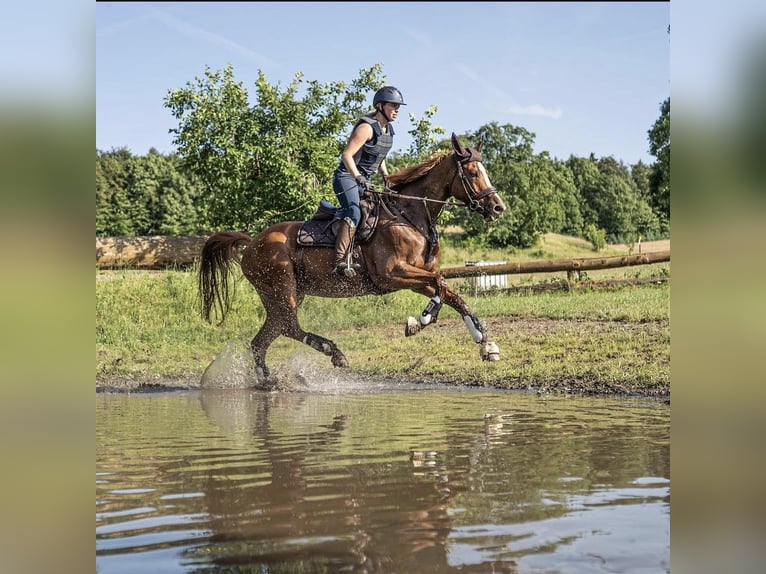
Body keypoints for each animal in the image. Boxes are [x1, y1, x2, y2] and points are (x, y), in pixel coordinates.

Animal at [199, 133, 507, 381]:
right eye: (472, 173)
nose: (498, 207)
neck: (409, 216)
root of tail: (252, 242)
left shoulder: (415, 276)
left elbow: (451, 294)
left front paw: (485, 344)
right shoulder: (393, 275)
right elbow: (441, 284)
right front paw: (420, 321)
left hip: (280, 294)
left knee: (265, 338)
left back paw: (267, 379)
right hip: (282, 288)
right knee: (288, 326)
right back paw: (332, 352)